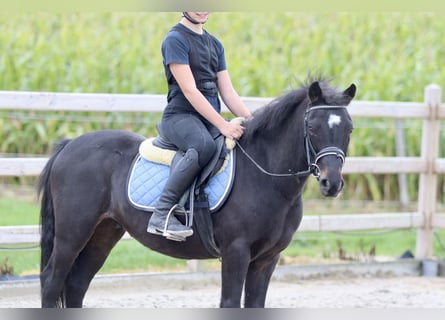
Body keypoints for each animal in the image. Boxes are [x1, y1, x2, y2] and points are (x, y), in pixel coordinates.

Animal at [40, 78, 356, 308]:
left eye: (349, 129)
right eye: (312, 127)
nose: (331, 183)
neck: (266, 176)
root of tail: (69, 145)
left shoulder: (267, 259)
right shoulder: (236, 253)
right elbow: (230, 303)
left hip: (103, 233)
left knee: (76, 286)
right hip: (72, 235)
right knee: (52, 282)